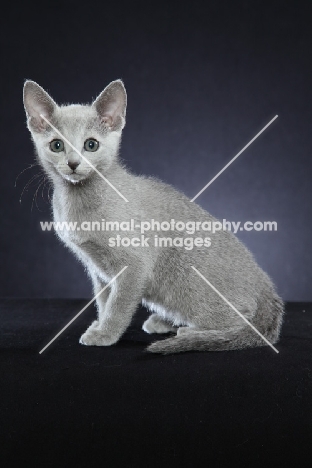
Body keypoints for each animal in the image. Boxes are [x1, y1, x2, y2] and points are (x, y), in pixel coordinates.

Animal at [23, 80, 284, 352]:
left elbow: (118, 305)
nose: (73, 163)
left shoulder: (134, 264)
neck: (79, 201)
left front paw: (105, 333)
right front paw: (99, 324)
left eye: (91, 144)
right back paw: (164, 321)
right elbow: (104, 300)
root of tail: (266, 286)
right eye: (57, 145)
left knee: (242, 322)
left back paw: (190, 332)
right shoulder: (97, 269)